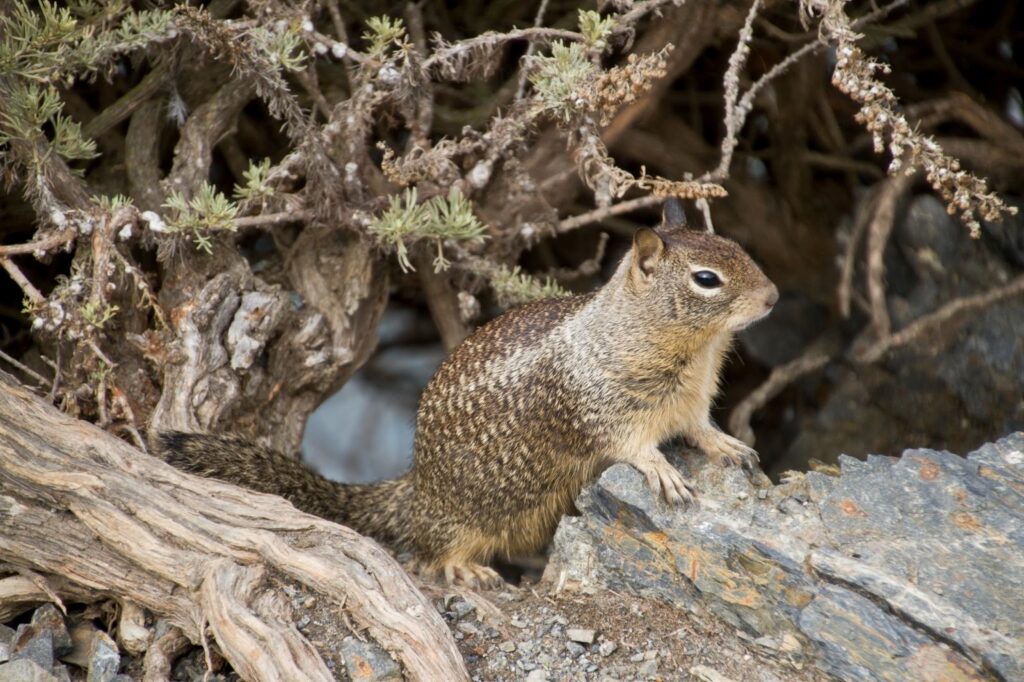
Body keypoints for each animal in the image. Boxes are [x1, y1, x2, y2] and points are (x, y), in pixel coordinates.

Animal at [157, 196, 774, 585]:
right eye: (706, 279)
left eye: (737, 246)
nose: (772, 297)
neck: (690, 350)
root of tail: (416, 487)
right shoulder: (605, 403)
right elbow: (633, 446)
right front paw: (663, 470)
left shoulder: (693, 400)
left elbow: (699, 428)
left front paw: (729, 446)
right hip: (460, 519)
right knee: (433, 552)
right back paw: (465, 567)